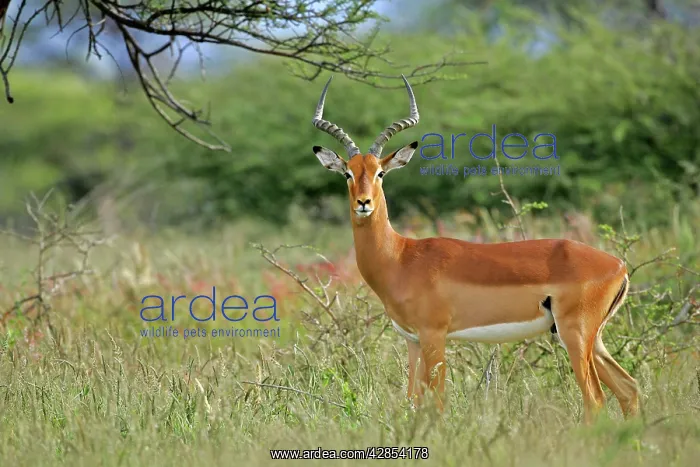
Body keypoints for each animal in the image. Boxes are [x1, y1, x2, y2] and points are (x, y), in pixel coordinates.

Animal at [310, 75, 640, 423]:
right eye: (348, 173)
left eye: (380, 172)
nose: (364, 203)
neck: (401, 257)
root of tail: (619, 266)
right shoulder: (412, 340)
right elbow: (413, 402)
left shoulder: (434, 336)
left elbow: (437, 402)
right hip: (594, 339)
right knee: (628, 388)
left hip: (575, 335)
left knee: (596, 399)